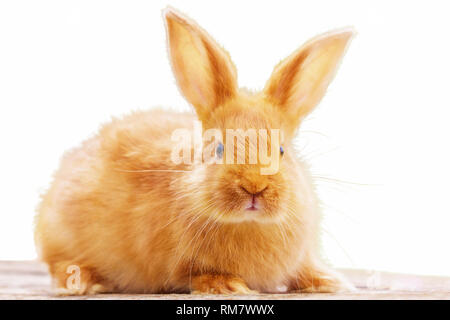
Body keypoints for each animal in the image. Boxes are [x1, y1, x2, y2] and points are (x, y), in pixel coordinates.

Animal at [34, 5, 356, 296]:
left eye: (281, 150)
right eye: (219, 148)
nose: (254, 187)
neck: (247, 224)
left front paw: (331, 282)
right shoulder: (178, 265)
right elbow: (197, 274)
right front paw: (229, 286)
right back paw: (83, 281)